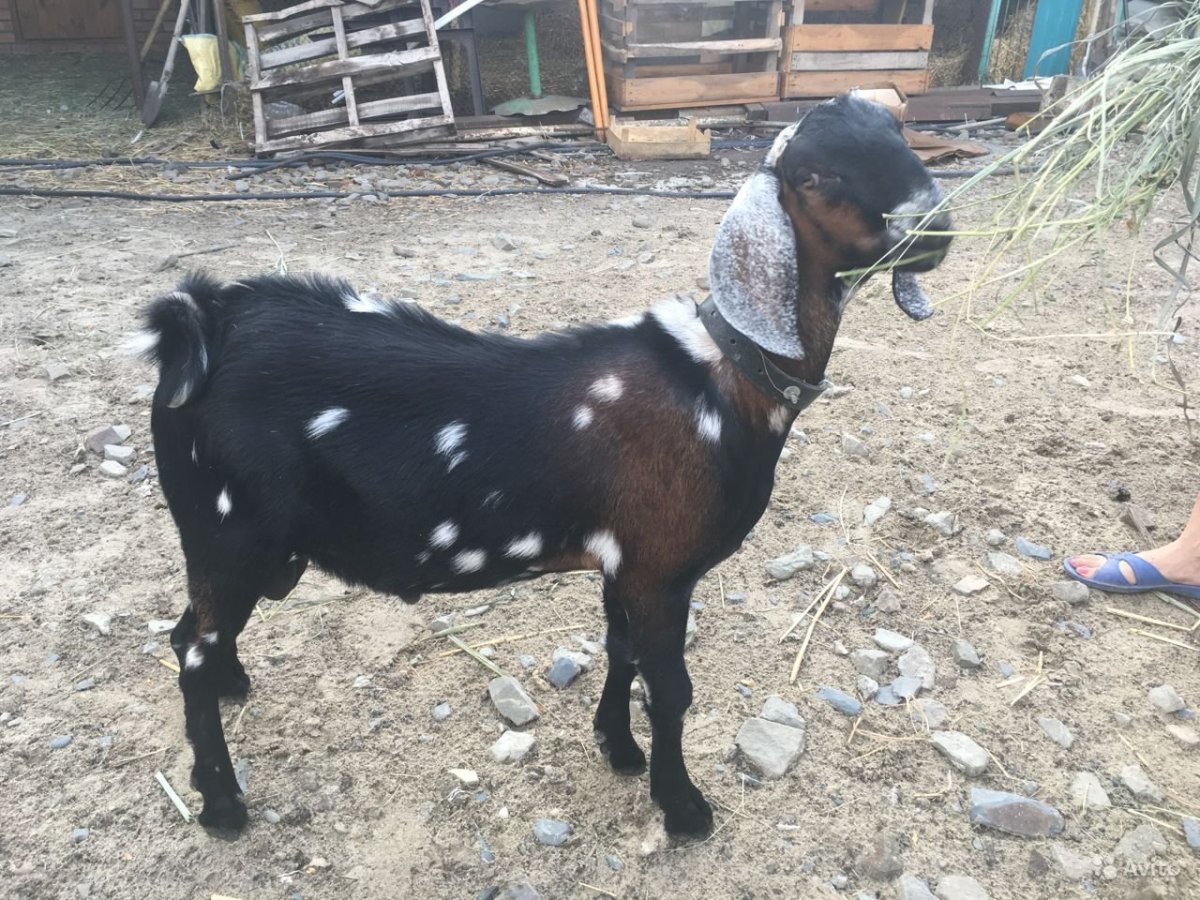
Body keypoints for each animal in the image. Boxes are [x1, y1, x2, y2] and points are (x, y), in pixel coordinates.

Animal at [134, 93, 951, 838]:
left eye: (901, 130)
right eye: (814, 174)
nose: (936, 225)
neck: (723, 379)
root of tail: (198, 323)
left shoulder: (624, 561)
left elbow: (620, 652)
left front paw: (617, 749)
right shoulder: (662, 567)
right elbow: (671, 690)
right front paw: (682, 807)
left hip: (249, 549)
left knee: (188, 638)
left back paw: (236, 688)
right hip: (229, 531)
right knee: (193, 654)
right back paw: (222, 805)